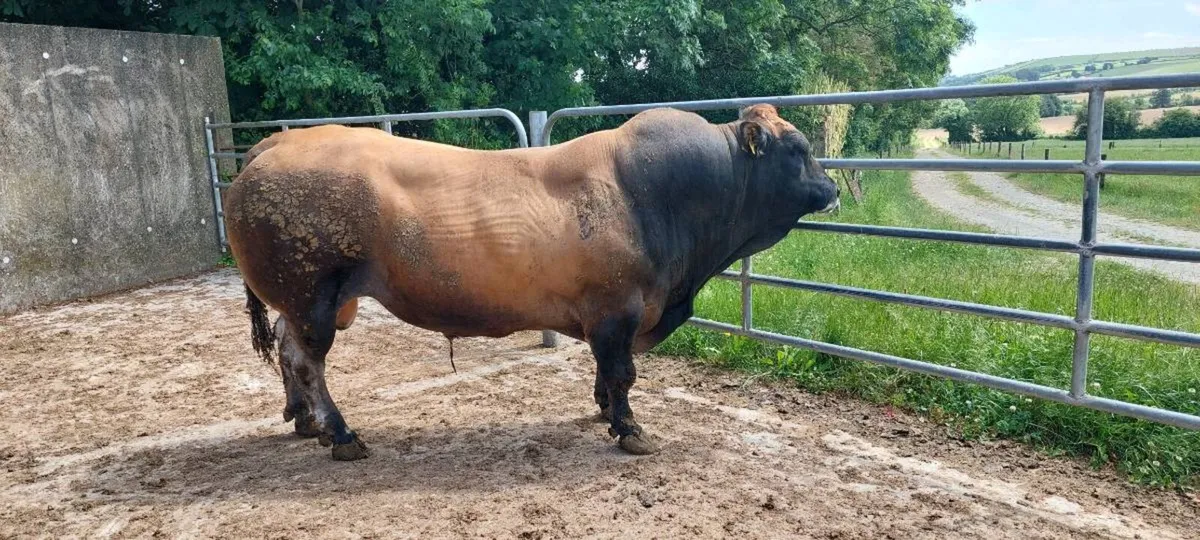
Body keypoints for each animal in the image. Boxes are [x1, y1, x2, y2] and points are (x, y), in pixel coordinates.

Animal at [223, 103, 840, 461]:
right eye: (798, 149)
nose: (833, 189)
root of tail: (275, 143)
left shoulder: (604, 317)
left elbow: (604, 370)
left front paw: (602, 410)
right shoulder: (619, 309)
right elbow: (623, 372)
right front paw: (629, 429)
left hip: (312, 300)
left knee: (286, 347)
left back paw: (305, 421)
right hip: (314, 294)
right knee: (306, 360)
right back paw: (342, 435)